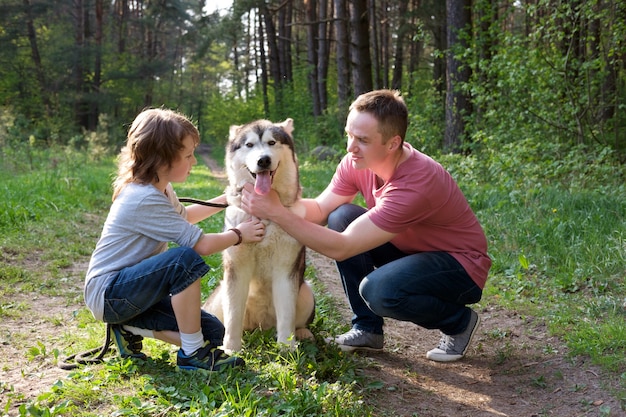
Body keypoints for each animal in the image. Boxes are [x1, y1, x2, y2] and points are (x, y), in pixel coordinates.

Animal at [202, 118, 314, 352]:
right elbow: (233, 315)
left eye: (272, 143)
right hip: (220, 293)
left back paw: (303, 333)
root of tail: (261, 328)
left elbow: (287, 315)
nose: (263, 160)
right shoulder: (237, 268)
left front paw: (287, 349)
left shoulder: (285, 270)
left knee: (298, 320)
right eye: (249, 145)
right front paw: (231, 349)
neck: (264, 215)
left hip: (307, 291)